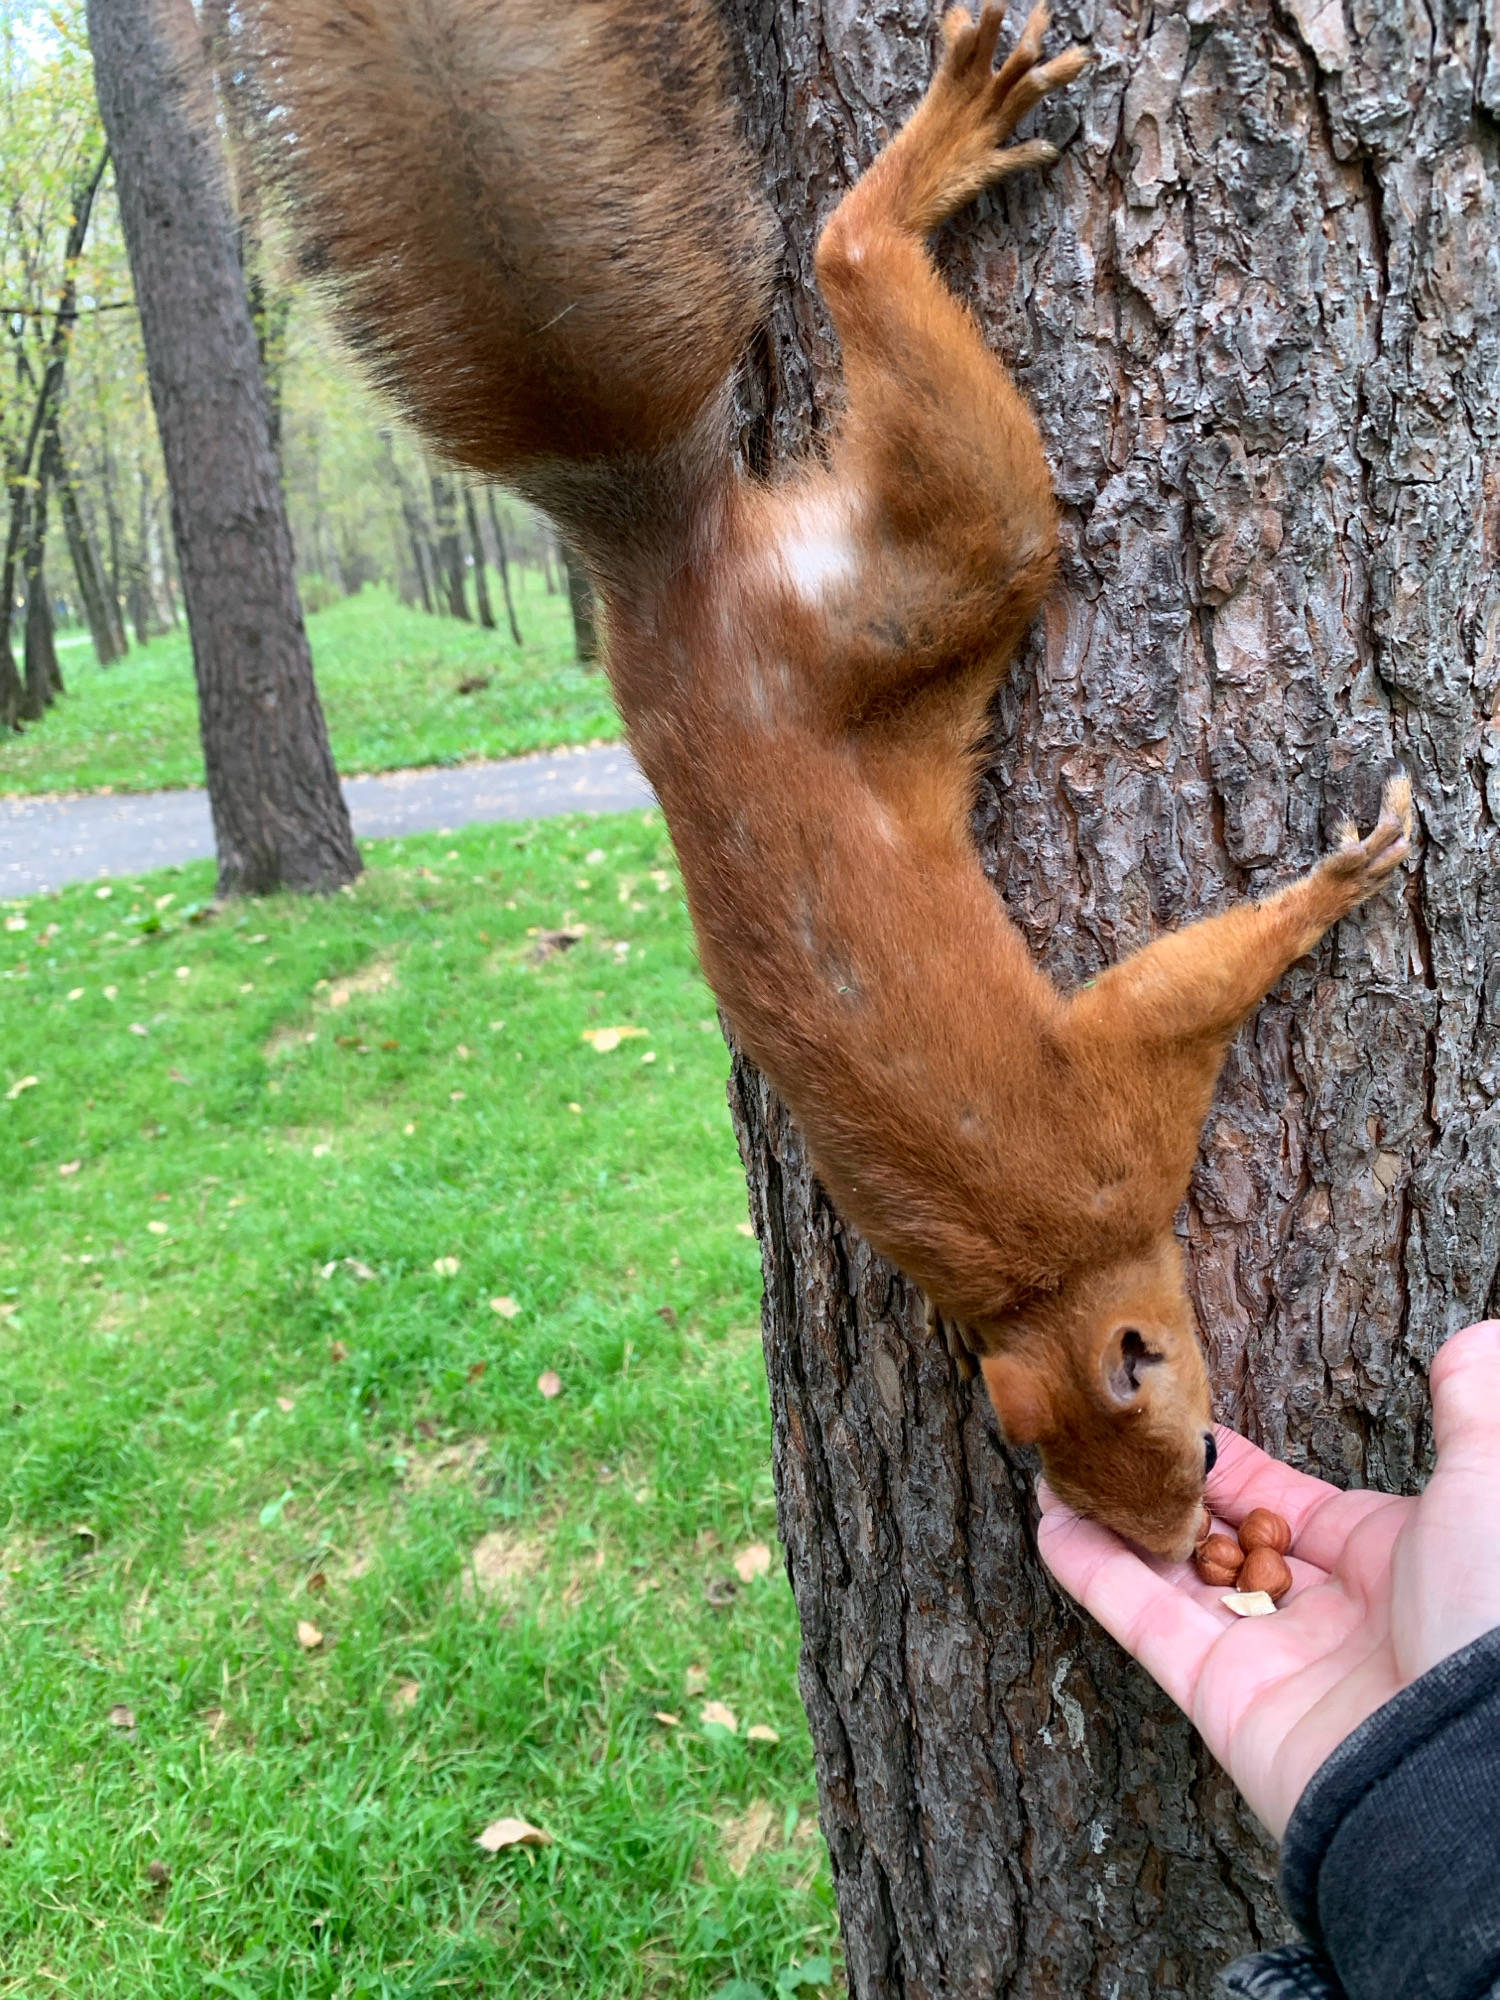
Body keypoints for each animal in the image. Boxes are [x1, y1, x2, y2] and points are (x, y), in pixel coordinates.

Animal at [245, 0, 1413, 1560]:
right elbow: (1182, 983)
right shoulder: (1117, 1130)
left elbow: (1182, 982)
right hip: (925, 585)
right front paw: (1341, 878)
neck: (1044, 1277)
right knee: (855, 277)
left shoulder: (1109, 1146)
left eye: (1203, 1449)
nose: (1181, 1546)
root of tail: (670, 593)